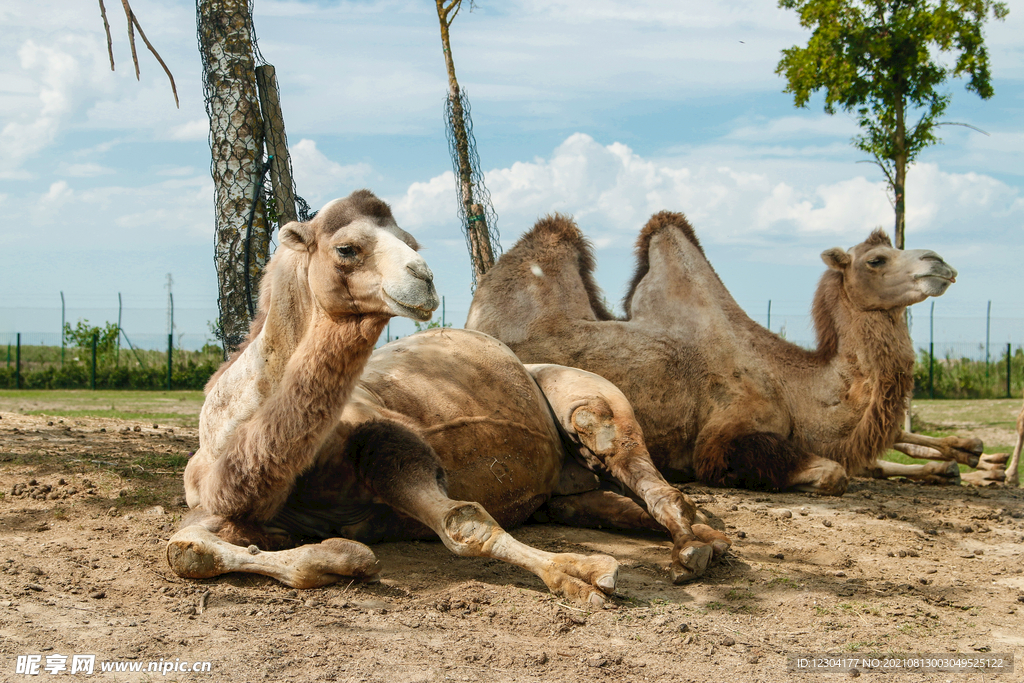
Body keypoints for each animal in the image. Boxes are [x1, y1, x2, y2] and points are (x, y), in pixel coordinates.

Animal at [165, 188, 729, 602]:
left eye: (412, 241)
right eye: (346, 248)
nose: (424, 278)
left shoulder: (389, 443)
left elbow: (465, 522)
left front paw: (582, 573)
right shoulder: (213, 502)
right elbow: (186, 549)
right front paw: (338, 557)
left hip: (591, 398)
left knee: (637, 465)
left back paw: (692, 549)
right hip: (561, 495)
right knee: (603, 505)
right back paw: (709, 534)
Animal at [466, 210, 991, 493]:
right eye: (877, 259)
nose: (939, 263)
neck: (794, 384)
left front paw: (959, 457)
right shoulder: (723, 437)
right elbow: (834, 472)